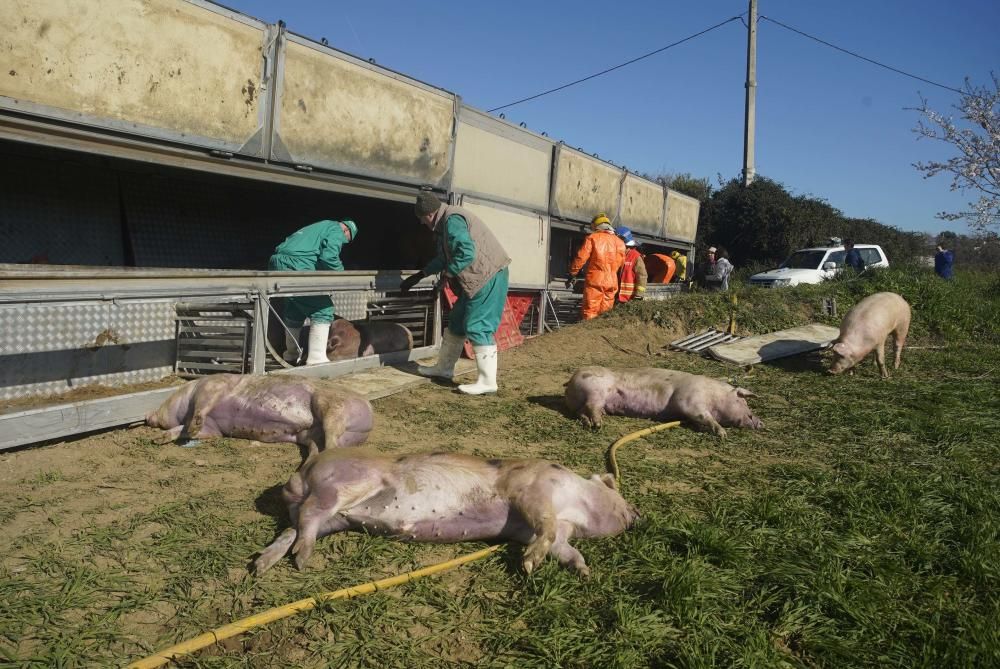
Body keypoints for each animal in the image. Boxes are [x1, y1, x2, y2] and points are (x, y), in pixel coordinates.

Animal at [150, 374, 376, 456]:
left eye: (164, 401)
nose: (148, 417)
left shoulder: (212, 385)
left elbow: (201, 409)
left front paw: (193, 426)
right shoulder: (214, 430)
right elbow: (185, 430)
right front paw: (159, 440)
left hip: (331, 404)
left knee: (332, 439)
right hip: (310, 435)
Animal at [254, 448, 636, 576]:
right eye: (618, 492)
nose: (638, 514)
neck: (573, 507)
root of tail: (302, 472)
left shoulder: (547, 531)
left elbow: (563, 548)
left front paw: (584, 572)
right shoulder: (532, 489)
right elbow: (545, 525)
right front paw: (528, 566)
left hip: (337, 518)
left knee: (292, 527)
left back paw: (262, 567)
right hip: (343, 485)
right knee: (308, 514)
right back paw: (303, 562)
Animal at [564, 366, 764, 438]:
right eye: (744, 401)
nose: (761, 423)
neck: (713, 395)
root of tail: (570, 381)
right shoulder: (689, 401)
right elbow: (705, 417)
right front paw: (723, 434)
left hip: (585, 401)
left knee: (582, 412)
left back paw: (591, 423)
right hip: (595, 390)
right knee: (591, 406)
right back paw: (598, 425)